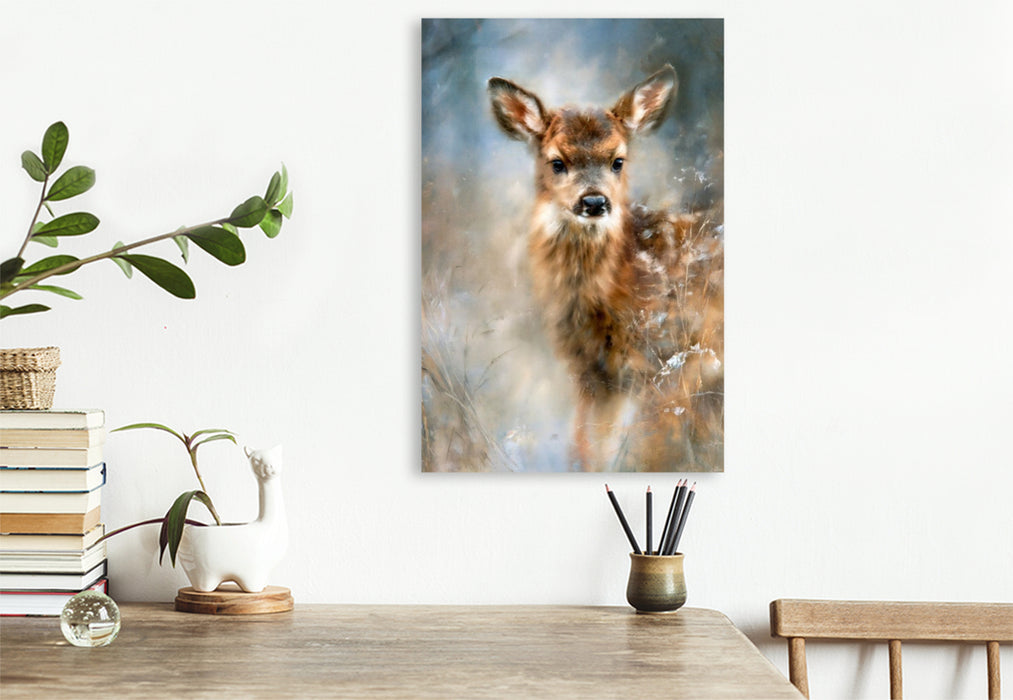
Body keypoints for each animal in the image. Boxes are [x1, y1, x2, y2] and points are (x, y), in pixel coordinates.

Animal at [488, 65, 710, 471]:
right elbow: (586, 442)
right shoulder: (592, 373)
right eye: (557, 162)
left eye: (617, 161)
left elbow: (648, 443)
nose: (594, 201)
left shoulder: (660, 361)